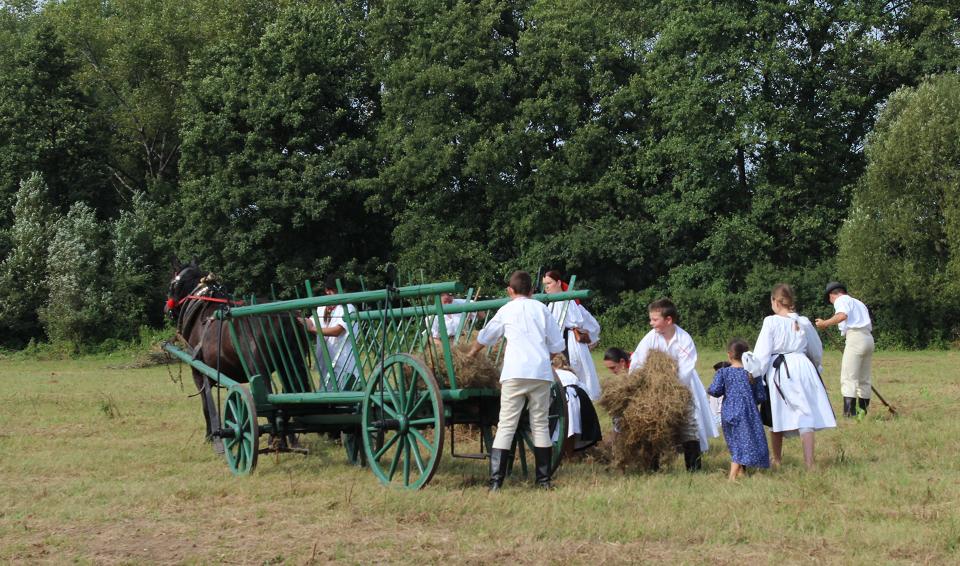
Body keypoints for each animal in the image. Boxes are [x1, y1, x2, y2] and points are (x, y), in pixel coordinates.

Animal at [164, 260, 308, 452]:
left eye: (172, 284)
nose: (166, 308)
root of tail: (280, 316)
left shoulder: (200, 374)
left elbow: (206, 406)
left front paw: (210, 436)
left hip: (259, 370)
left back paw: (276, 439)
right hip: (289, 365)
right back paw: (290, 439)